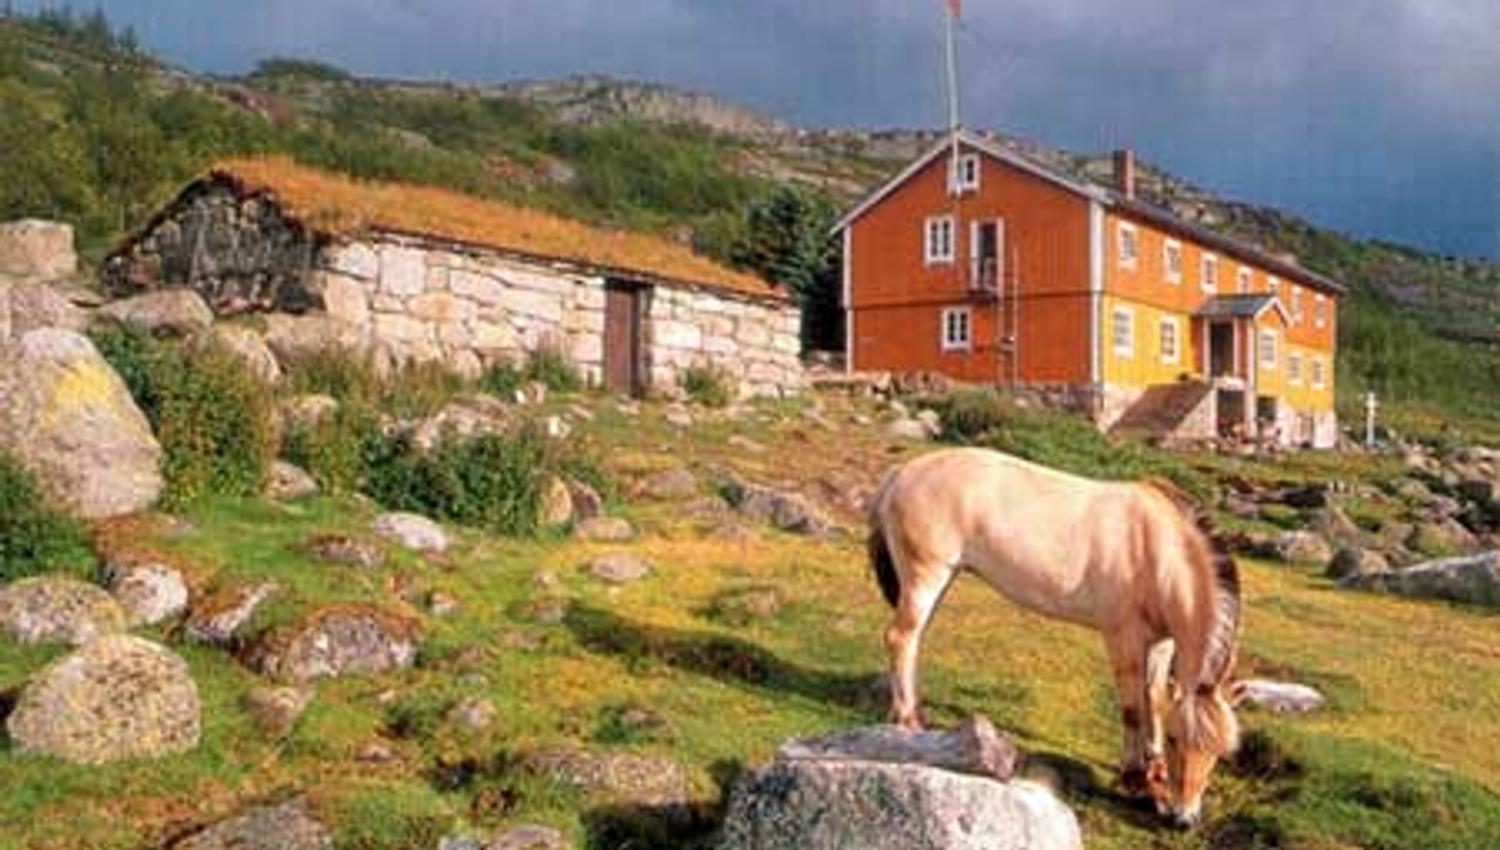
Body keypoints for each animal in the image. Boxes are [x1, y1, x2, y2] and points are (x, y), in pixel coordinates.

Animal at [867, 447, 1243, 826]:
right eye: (1177, 740)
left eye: (1220, 753)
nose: (1184, 819)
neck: (1157, 548)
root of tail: (902, 472)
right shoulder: (1123, 637)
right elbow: (1133, 708)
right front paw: (1136, 778)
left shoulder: (1162, 644)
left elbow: (1155, 701)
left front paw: (1157, 777)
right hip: (926, 576)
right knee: (900, 637)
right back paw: (908, 722)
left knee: (915, 639)